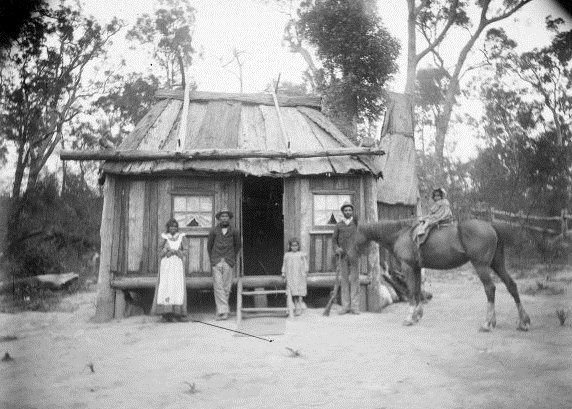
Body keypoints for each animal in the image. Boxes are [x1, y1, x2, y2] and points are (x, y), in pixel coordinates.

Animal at [348, 218, 532, 330]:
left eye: (351, 233)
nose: (347, 254)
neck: (401, 234)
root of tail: (491, 226)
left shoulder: (407, 267)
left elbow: (411, 292)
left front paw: (409, 318)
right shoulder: (416, 268)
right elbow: (417, 291)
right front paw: (417, 316)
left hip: (481, 266)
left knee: (490, 288)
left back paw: (487, 323)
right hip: (497, 264)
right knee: (511, 285)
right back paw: (523, 322)